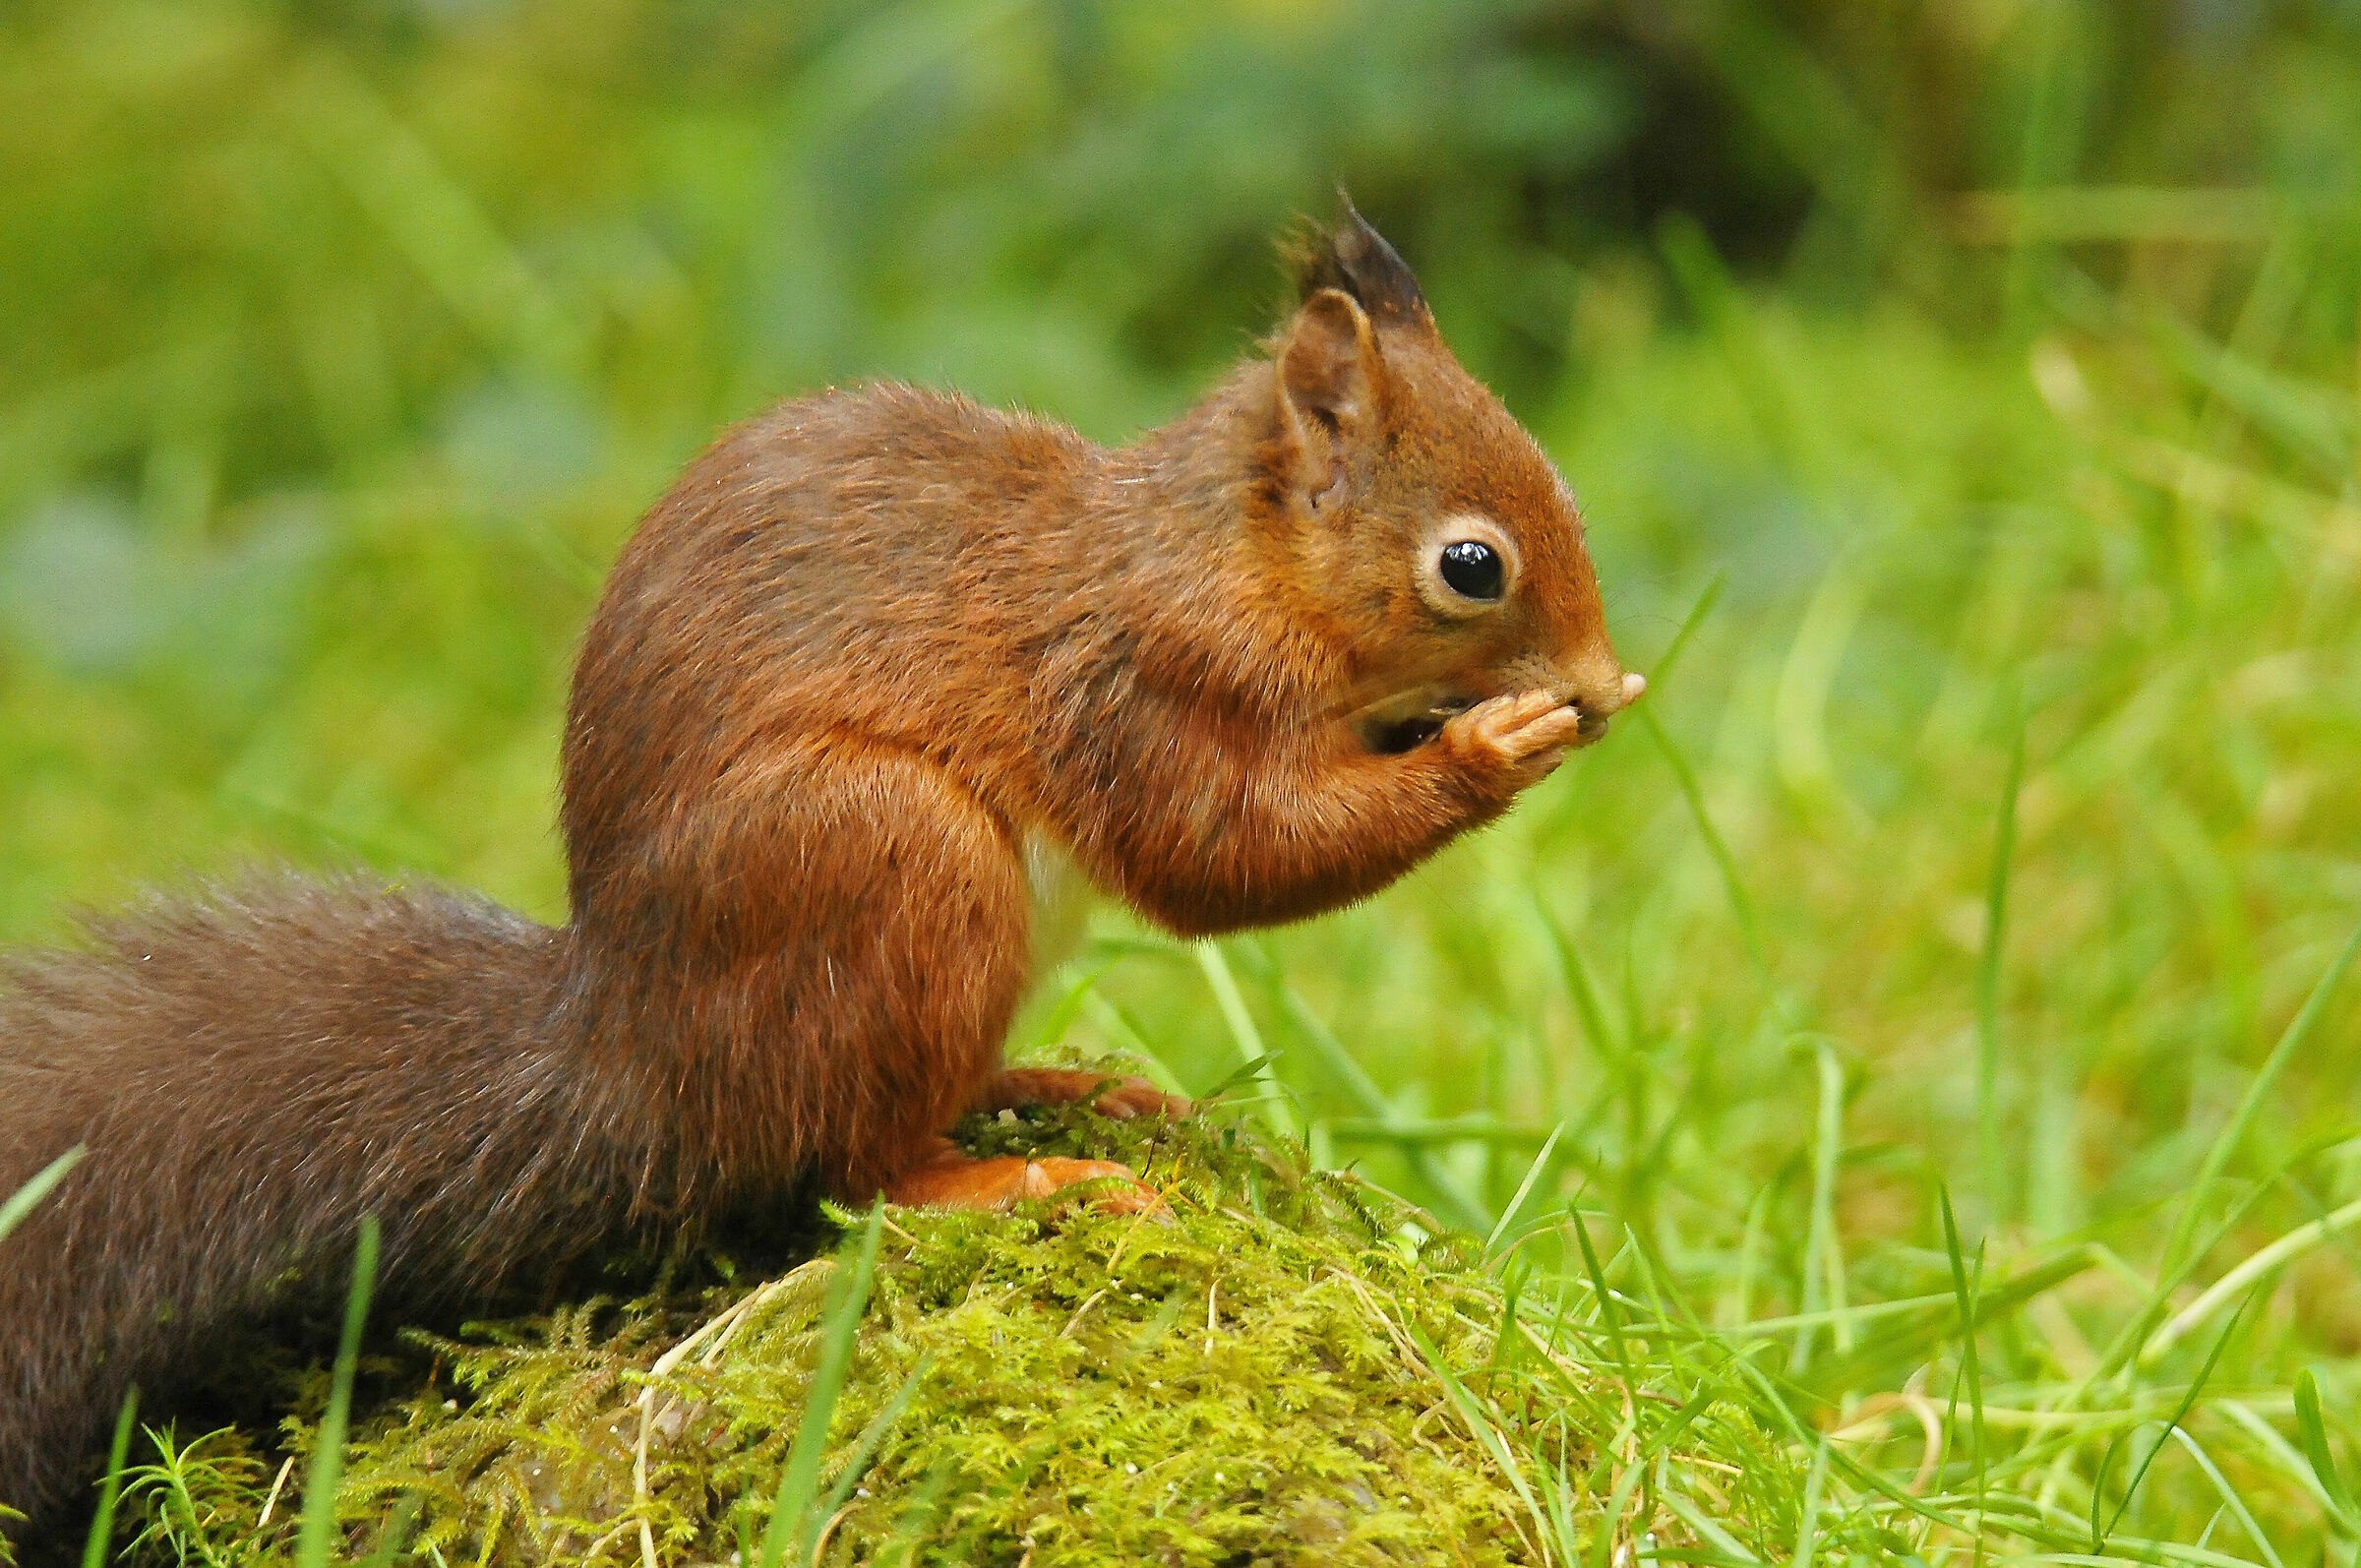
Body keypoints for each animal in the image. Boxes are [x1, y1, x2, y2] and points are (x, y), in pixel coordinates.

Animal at [0, 201, 1640, 1539]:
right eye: (1472, 565)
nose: (1606, 680)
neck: (1225, 560)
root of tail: (629, 1054)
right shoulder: (1138, 682)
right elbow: (1218, 852)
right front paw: (1493, 746)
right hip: (893, 858)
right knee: (853, 1170)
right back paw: (1017, 1169)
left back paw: (1061, 1086)